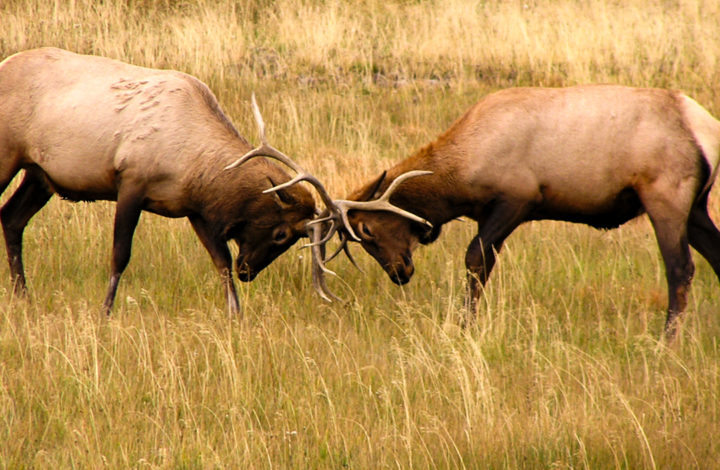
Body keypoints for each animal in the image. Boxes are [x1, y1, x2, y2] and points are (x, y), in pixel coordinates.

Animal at [0, 47, 336, 314]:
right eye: (281, 234)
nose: (248, 272)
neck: (193, 162)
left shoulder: (194, 208)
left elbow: (221, 262)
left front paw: (235, 315)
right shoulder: (131, 181)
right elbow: (120, 255)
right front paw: (105, 311)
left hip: (39, 175)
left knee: (12, 218)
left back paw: (23, 296)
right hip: (9, 156)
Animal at [332, 85, 720, 338]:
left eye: (366, 230)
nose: (399, 273)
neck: (462, 172)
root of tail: (705, 129)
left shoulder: (517, 198)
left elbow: (475, 259)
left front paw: (465, 326)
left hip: (666, 196)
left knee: (680, 268)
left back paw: (666, 340)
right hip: (696, 207)